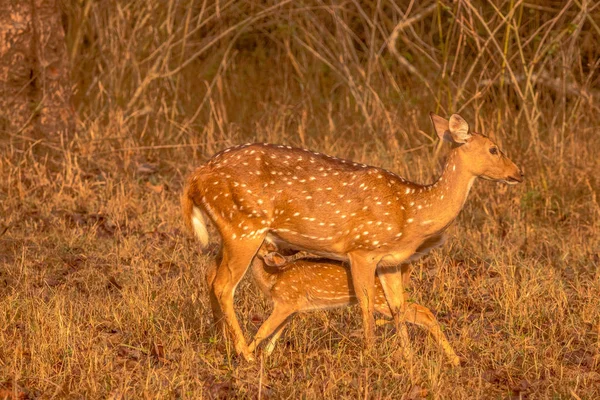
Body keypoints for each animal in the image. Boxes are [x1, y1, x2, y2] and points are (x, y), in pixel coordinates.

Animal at [182, 111, 520, 360]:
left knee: (210, 275)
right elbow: (366, 304)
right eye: (494, 148)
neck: (412, 212)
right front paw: (371, 357)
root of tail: (195, 177)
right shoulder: (363, 249)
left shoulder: (390, 261)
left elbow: (398, 307)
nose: (518, 172)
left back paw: (220, 341)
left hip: (230, 231)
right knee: (224, 285)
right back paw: (245, 353)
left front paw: (408, 360)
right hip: (244, 228)